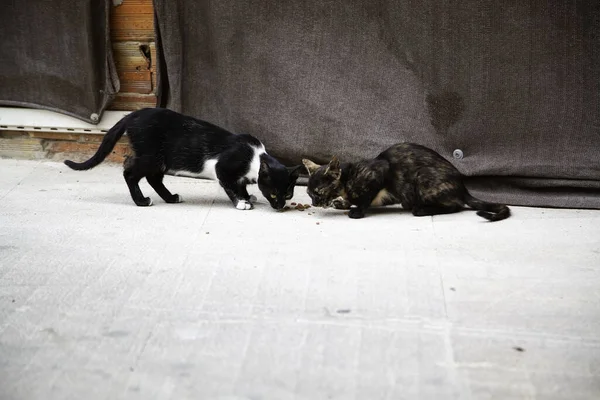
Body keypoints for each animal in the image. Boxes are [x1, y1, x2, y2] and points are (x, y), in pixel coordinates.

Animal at [62, 108, 300, 211]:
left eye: (288, 194)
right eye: (273, 193)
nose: (280, 206)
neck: (255, 157)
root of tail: (132, 114)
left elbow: (239, 184)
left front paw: (248, 196)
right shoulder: (222, 166)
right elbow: (230, 185)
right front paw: (241, 202)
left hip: (159, 160)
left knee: (153, 178)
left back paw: (170, 197)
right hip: (151, 156)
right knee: (130, 172)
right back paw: (141, 201)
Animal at [302, 142, 508, 220]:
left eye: (318, 193)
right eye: (309, 194)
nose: (314, 202)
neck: (348, 179)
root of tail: (463, 187)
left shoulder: (380, 172)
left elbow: (365, 198)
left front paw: (357, 211)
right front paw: (341, 202)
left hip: (423, 177)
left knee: (455, 205)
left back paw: (421, 209)